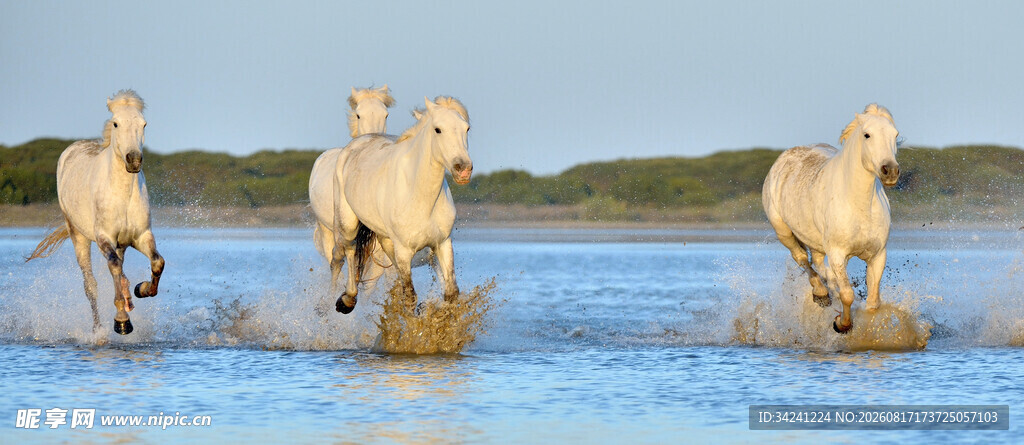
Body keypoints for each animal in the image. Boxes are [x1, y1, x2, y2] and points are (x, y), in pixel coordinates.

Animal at [26, 90, 164, 335]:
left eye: (144, 124)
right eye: (116, 123)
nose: (134, 160)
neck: (123, 194)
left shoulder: (141, 236)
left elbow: (157, 263)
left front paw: (141, 288)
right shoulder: (103, 237)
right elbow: (114, 268)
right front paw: (121, 322)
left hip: (121, 243)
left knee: (119, 269)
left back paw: (129, 297)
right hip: (78, 235)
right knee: (91, 284)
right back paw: (98, 330)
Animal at [331, 96, 472, 314]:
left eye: (467, 128)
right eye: (438, 129)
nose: (463, 169)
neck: (421, 198)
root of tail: (356, 143)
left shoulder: (442, 243)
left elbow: (451, 293)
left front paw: (430, 310)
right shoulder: (404, 251)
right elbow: (410, 297)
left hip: (385, 238)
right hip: (348, 224)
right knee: (349, 251)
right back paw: (346, 300)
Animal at [762, 104, 900, 334]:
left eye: (895, 135)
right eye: (867, 135)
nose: (890, 171)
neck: (859, 206)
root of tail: (783, 158)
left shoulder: (878, 255)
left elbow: (873, 303)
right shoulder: (837, 254)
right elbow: (847, 294)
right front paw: (841, 325)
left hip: (815, 241)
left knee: (817, 263)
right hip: (783, 232)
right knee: (802, 259)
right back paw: (821, 294)